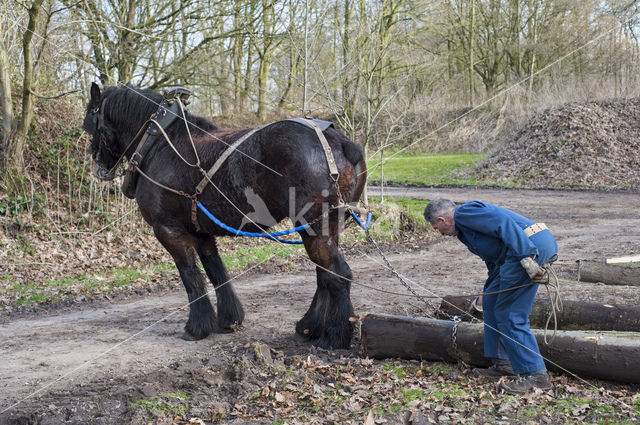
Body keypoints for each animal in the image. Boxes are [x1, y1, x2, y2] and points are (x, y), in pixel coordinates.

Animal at [82, 83, 368, 348]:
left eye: (89, 125)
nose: (99, 168)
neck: (160, 144)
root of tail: (340, 143)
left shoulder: (168, 229)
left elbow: (190, 276)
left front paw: (196, 327)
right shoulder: (200, 231)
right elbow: (216, 272)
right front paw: (229, 320)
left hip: (313, 226)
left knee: (337, 273)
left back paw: (334, 336)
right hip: (325, 227)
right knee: (323, 275)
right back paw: (309, 327)